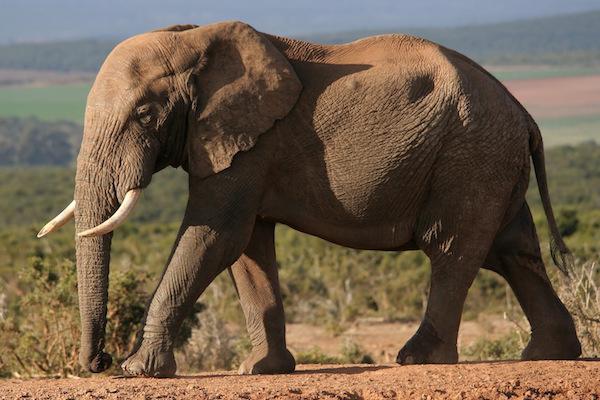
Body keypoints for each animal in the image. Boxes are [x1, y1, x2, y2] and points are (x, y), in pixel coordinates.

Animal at [38, 21, 580, 378]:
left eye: (145, 113)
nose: (98, 362)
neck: (193, 39)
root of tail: (524, 113)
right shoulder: (244, 145)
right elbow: (246, 247)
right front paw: (262, 369)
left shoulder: (252, 142)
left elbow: (215, 234)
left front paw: (138, 371)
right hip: (490, 160)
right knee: (514, 251)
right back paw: (550, 354)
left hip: (470, 156)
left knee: (452, 248)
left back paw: (419, 359)